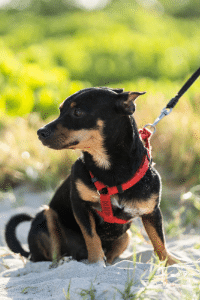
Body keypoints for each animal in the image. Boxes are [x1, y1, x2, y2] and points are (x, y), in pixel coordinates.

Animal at [4, 86, 177, 264]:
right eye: (60, 110)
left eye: (78, 112)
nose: (40, 132)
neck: (110, 169)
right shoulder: (80, 206)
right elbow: (92, 237)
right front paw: (96, 263)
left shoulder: (152, 212)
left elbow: (159, 241)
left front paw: (170, 263)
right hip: (47, 215)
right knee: (53, 255)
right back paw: (63, 262)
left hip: (126, 237)